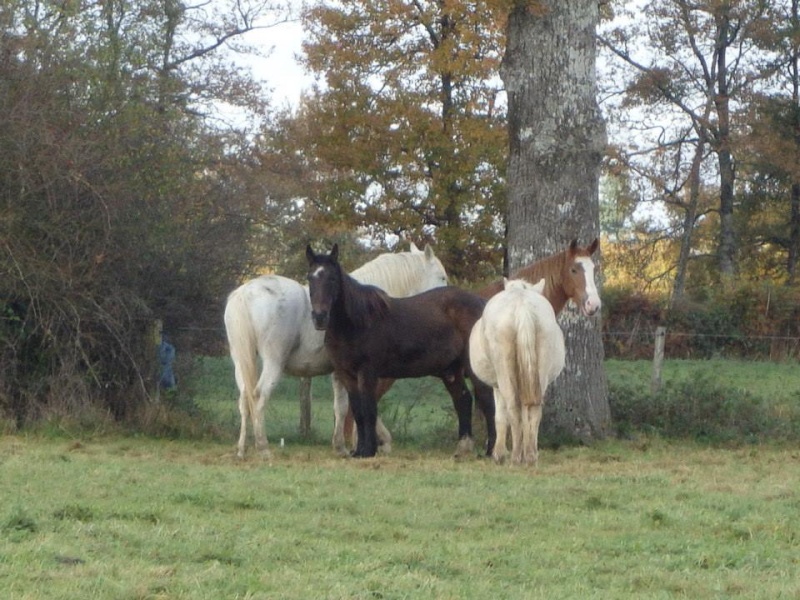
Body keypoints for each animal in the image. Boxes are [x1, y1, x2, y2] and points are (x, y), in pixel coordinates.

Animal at [306, 241, 494, 458]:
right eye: (310, 278)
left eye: (332, 278)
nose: (319, 317)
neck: (358, 321)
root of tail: (481, 303)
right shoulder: (346, 375)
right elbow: (358, 411)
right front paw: (359, 450)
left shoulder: (368, 373)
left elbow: (369, 409)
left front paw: (369, 450)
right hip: (452, 371)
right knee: (463, 400)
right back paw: (463, 448)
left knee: (488, 400)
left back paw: (490, 450)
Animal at [466, 278, 564, 466]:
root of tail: (522, 305)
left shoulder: (497, 386)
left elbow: (500, 417)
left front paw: (499, 454)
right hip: (539, 373)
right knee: (534, 411)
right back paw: (531, 456)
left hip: (505, 374)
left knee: (512, 409)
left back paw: (516, 456)